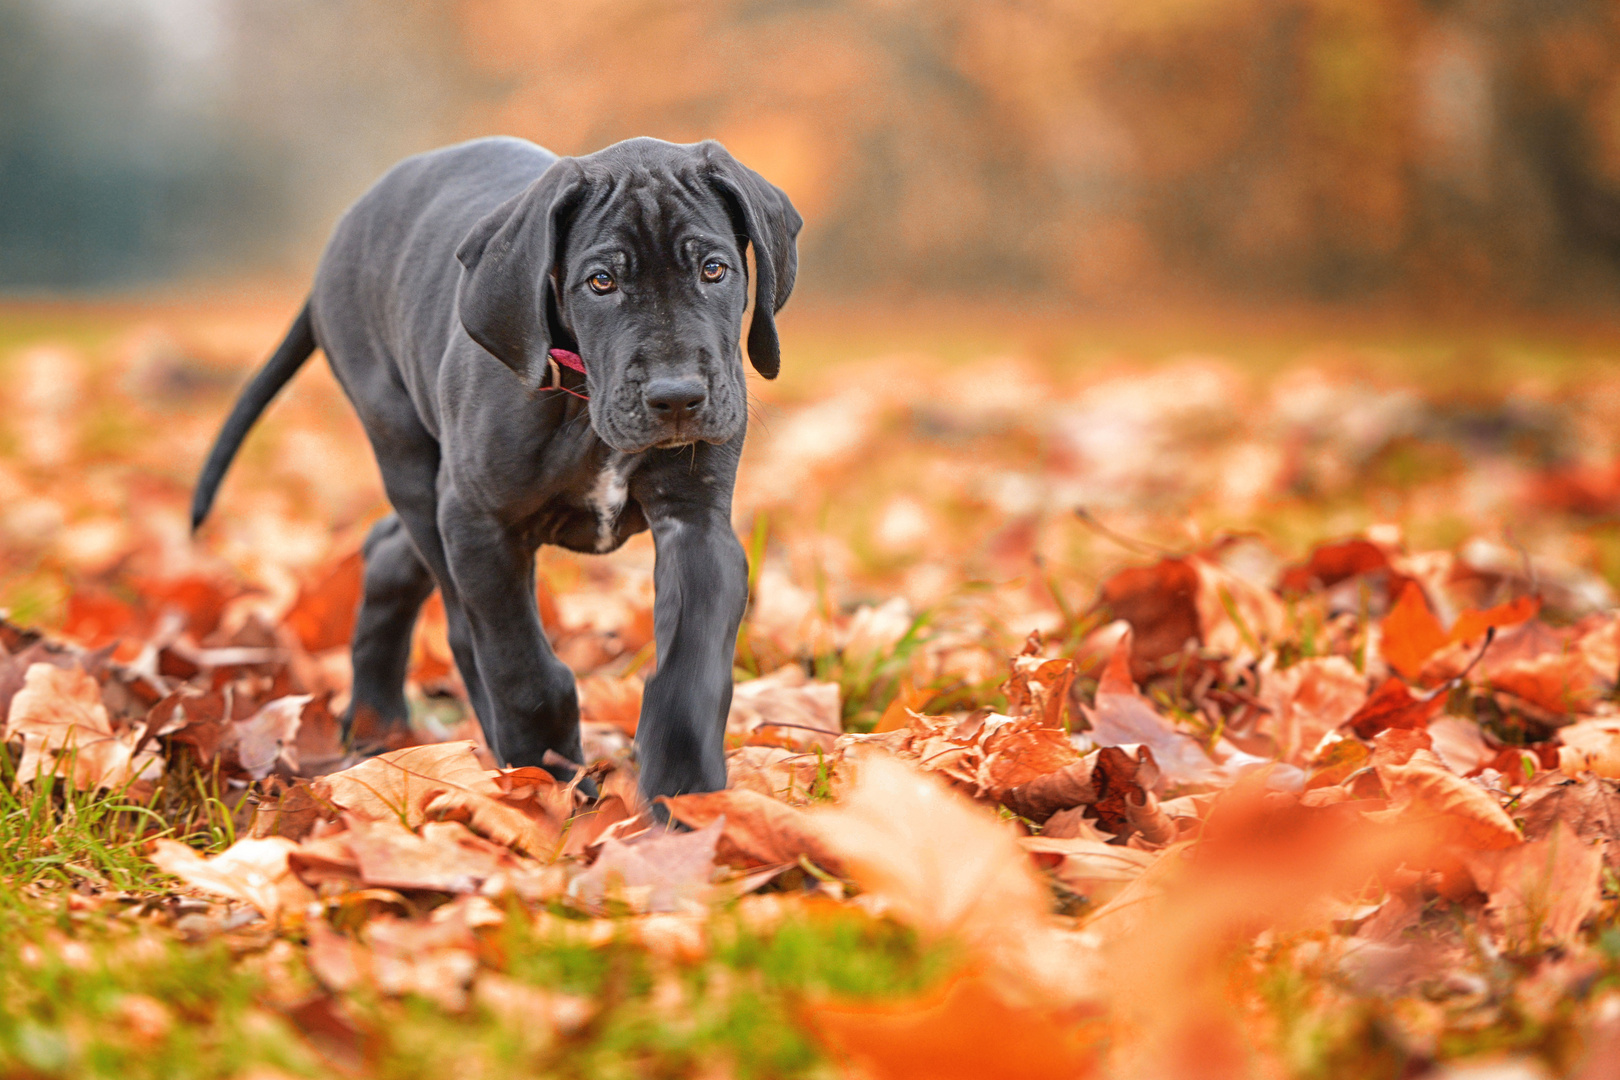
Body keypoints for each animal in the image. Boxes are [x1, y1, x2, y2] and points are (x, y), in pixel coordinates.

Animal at [192, 139, 800, 803]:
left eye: (714, 270)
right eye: (602, 282)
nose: (678, 398)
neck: (580, 399)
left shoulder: (697, 523)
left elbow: (691, 667)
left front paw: (683, 799)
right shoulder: (480, 524)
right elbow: (520, 666)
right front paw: (546, 778)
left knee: (389, 551)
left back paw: (378, 725)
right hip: (408, 455)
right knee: (460, 623)